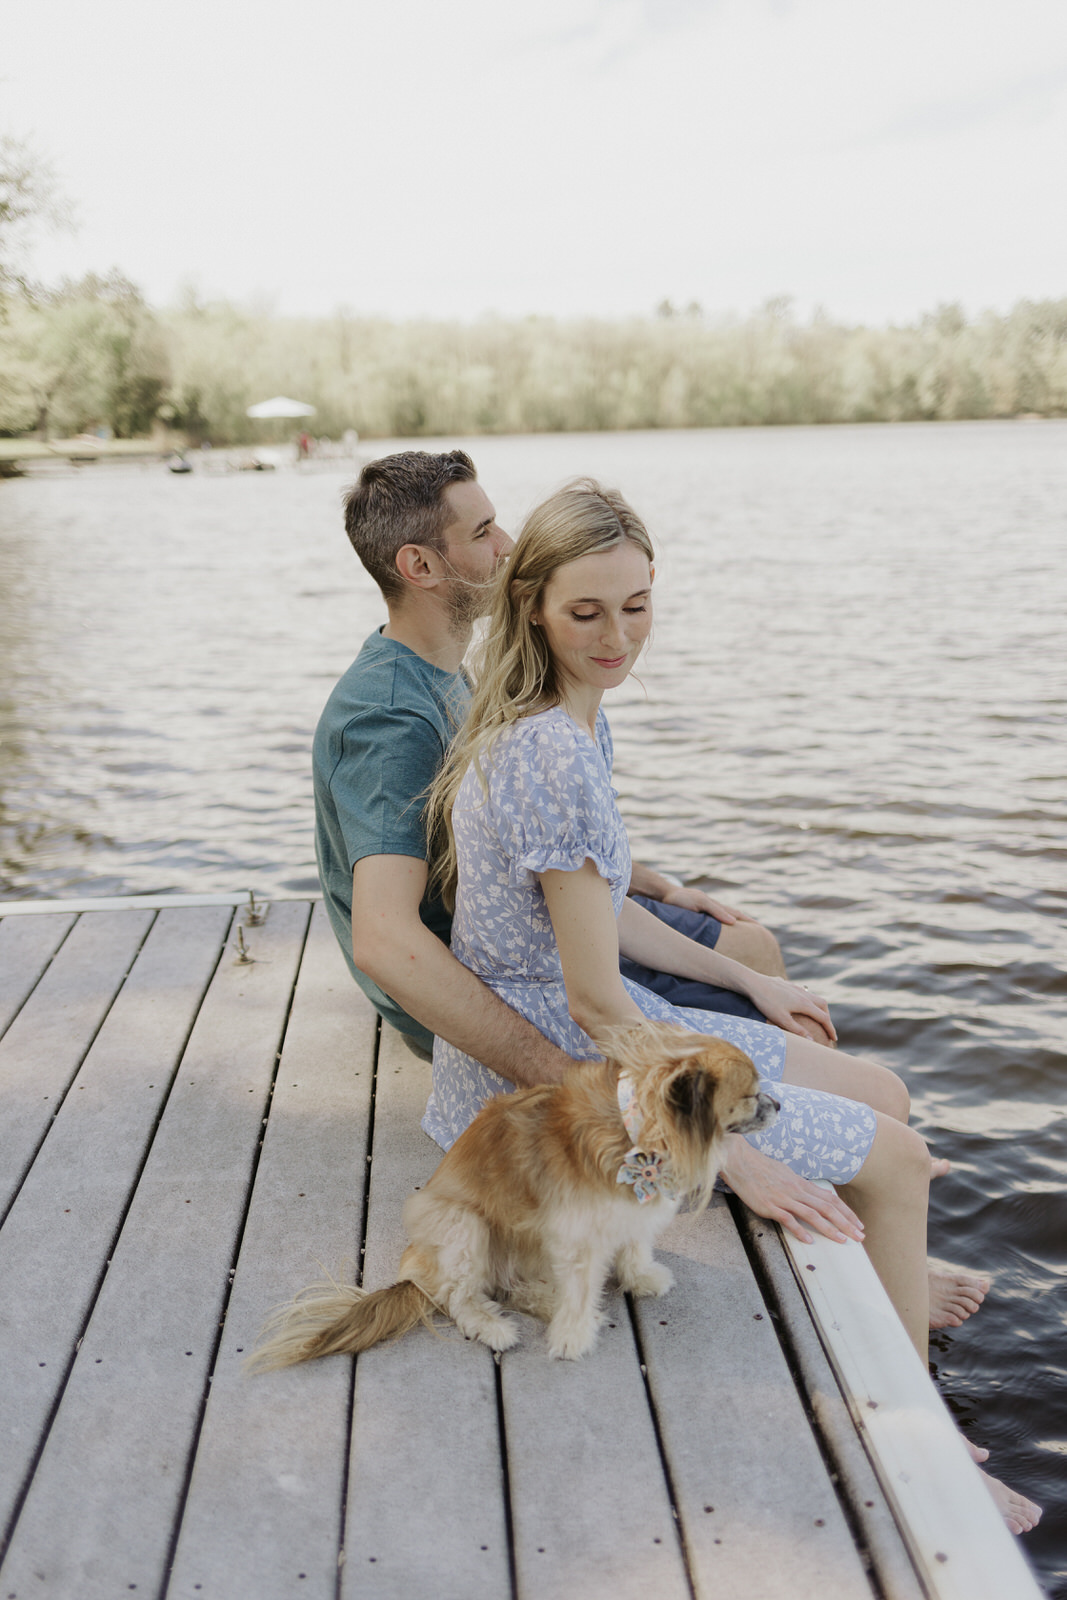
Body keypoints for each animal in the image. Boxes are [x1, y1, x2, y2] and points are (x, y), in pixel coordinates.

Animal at [252, 1017, 783, 1369]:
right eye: (750, 1095)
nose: (779, 1104)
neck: (638, 1134)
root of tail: (413, 1272)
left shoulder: (625, 1218)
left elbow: (634, 1248)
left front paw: (641, 1277)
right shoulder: (576, 1237)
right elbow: (580, 1286)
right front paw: (572, 1337)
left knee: (512, 1287)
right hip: (464, 1227)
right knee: (462, 1299)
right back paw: (497, 1327)